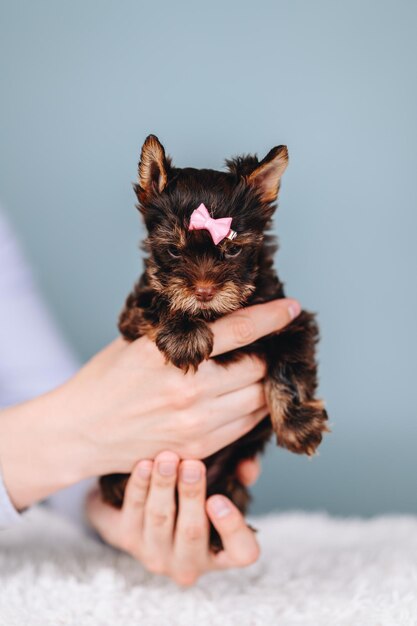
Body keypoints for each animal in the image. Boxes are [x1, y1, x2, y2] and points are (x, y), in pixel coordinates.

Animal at [99, 135, 326, 544]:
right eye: (174, 250)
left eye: (232, 249)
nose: (204, 291)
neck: (216, 313)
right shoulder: (132, 316)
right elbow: (159, 301)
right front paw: (184, 332)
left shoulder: (290, 320)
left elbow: (289, 367)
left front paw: (299, 425)